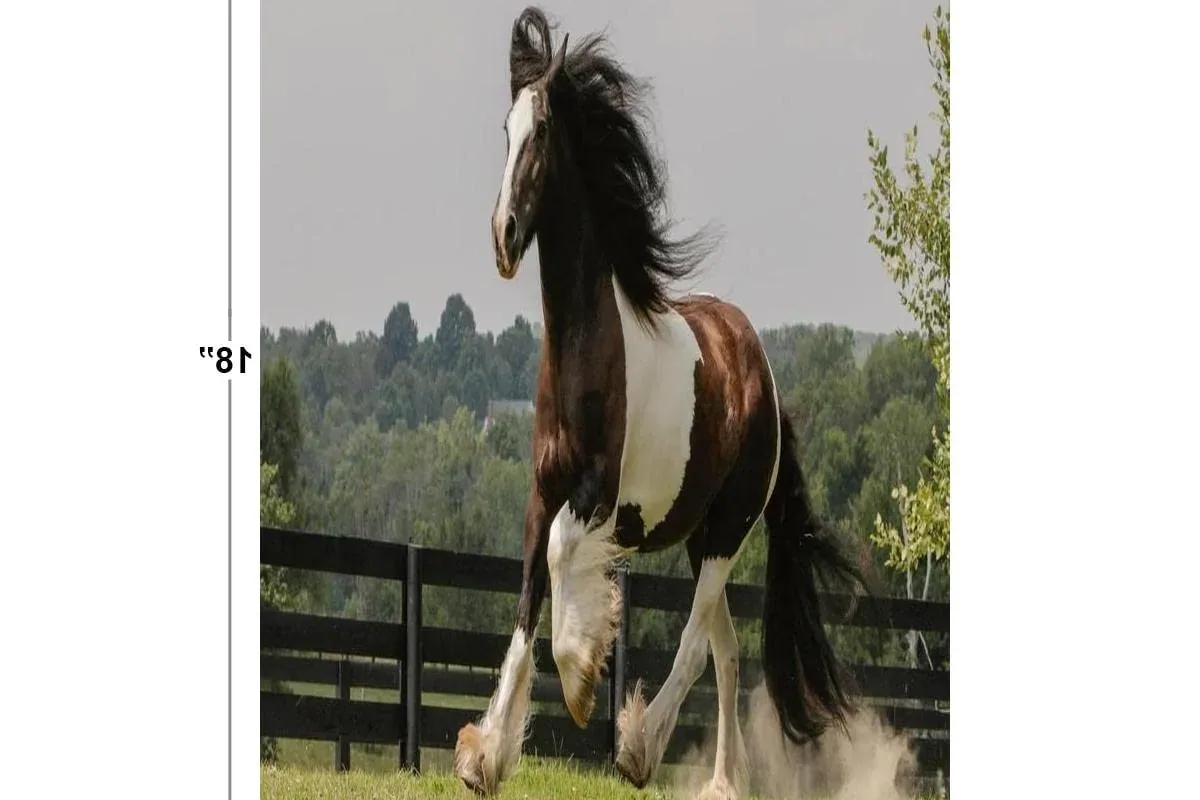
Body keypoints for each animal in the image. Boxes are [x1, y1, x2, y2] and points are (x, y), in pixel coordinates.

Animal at [453, 8, 866, 798]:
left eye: (542, 130)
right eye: (503, 129)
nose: (503, 236)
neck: (585, 351)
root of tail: (762, 376)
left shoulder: (595, 496)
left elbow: (562, 567)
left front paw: (583, 678)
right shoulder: (542, 490)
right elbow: (525, 605)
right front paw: (485, 756)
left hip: (727, 531)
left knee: (699, 644)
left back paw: (640, 748)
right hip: (707, 538)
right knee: (727, 649)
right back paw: (720, 781)